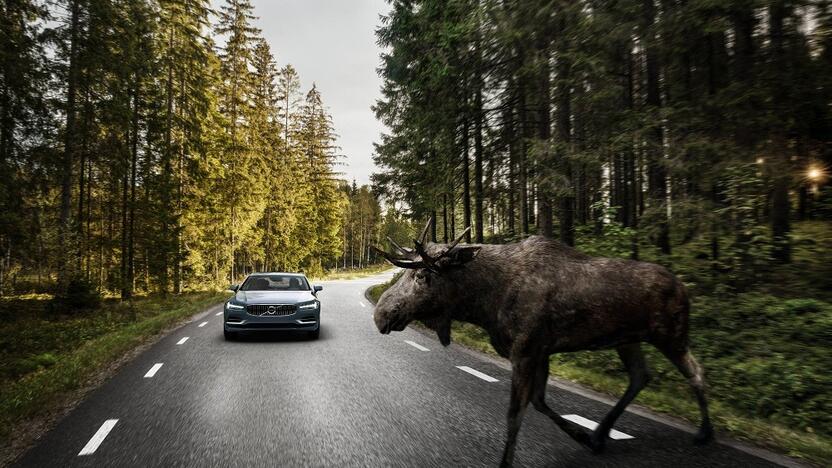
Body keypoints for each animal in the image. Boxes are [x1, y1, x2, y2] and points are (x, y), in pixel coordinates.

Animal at [372, 220, 716, 468]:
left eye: (423, 276)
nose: (381, 313)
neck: (484, 302)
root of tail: (684, 287)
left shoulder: (526, 351)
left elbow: (515, 415)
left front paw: (506, 463)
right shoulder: (541, 352)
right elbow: (538, 402)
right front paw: (582, 436)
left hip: (670, 333)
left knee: (696, 371)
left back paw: (705, 432)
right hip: (627, 339)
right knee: (640, 376)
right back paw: (600, 434)